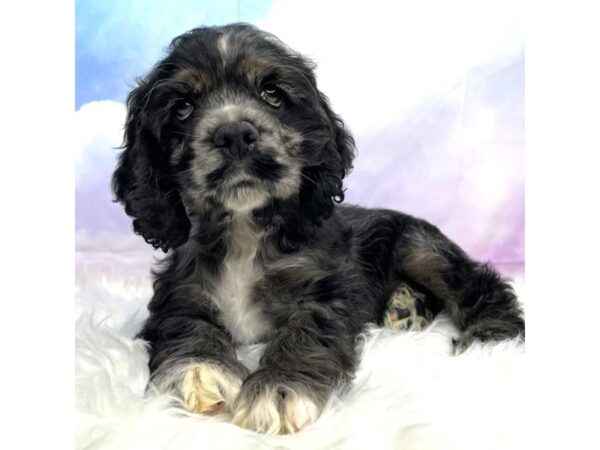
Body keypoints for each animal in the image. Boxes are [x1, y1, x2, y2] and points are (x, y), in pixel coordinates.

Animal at [112, 23, 524, 436]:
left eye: (272, 94)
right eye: (182, 108)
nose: (234, 134)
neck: (245, 228)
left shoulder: (327, 286)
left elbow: (307, 328)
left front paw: (280, 387)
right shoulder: (180, 288)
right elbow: (187, 323)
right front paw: (198, 371)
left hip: (419, 246)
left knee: (480, 284)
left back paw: (487, 339)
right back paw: (408, 306)